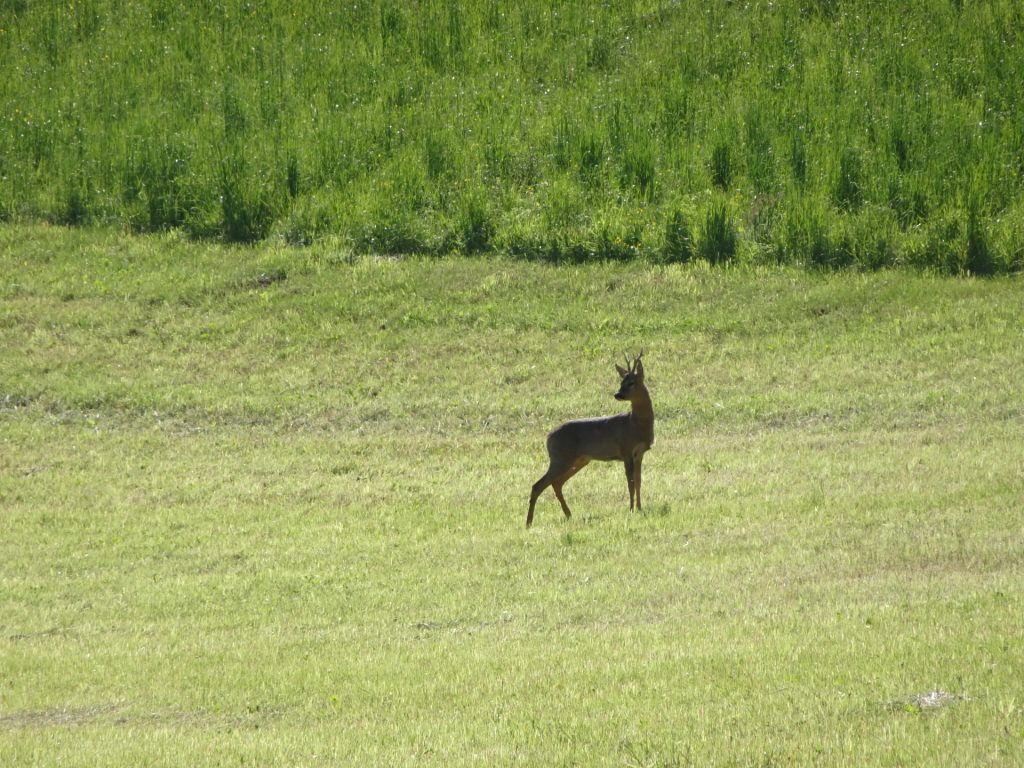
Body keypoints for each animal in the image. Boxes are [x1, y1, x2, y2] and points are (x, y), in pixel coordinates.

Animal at [528, 354, 655, 528]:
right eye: (621, 382)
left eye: (631, 382)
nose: (617, 394)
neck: (635, 424)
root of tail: (548, 437)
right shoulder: (626, 450)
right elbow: (630, 482)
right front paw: (630, 509)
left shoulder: (640, 453)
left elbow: (638, 480)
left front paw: (640, 508)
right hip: (561, 458)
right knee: (538, 485)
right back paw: (529, 522)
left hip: (580, 459)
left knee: (556, 483)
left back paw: (568, 514)